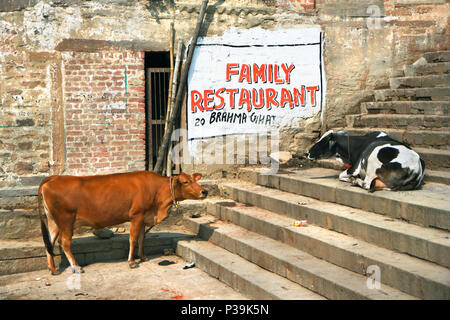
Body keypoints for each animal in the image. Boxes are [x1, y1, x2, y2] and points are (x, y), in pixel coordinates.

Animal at [38, 171, 207, 274]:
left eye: (195, 180)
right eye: (185, 182)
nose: (204, 191)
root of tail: (52, 178)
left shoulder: (144, 217)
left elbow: (141, 238)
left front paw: (143, 256)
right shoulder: (136, 215)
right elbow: (133, 238)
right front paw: (132, 261)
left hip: (53, 221)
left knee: (49, 242)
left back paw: (53, 269)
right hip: (66, 220)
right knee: (64, 243)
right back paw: (76, 266)